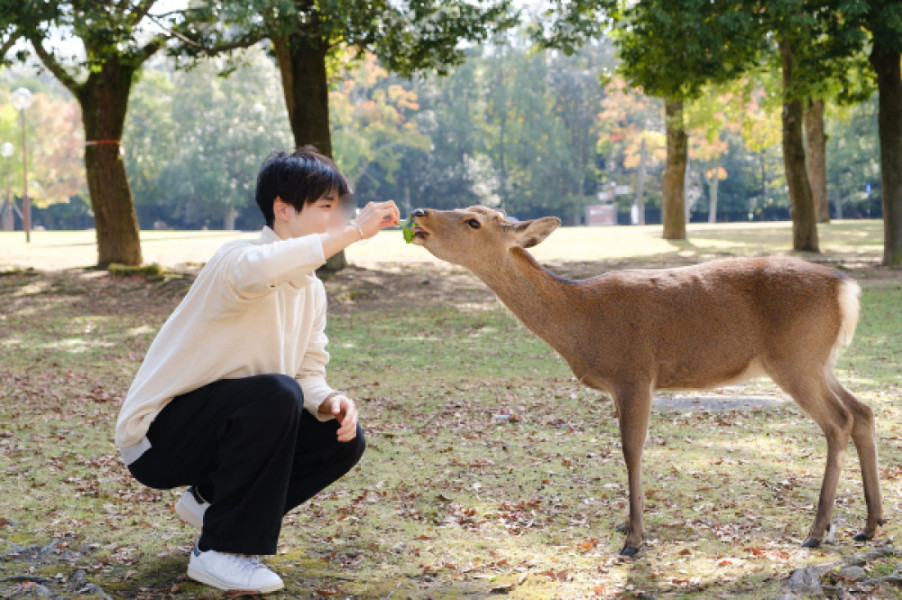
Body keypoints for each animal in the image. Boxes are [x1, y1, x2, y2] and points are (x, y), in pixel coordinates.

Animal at [408, 206, 884, 556]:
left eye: (474, 221)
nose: (419, 212)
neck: (579, 323)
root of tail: (849, 290)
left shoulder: (634, 373)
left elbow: (631, 451)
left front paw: (634, 539)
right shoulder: (621, 387)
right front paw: (626, 524)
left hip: (796, 357)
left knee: (838, 421)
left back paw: (818, 531)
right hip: (820, 361)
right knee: (862, 411)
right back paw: (870, 524)